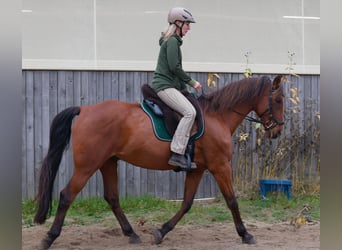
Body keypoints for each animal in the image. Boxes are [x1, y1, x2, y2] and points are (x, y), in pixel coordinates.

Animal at [33, 74, 284, 248]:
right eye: (279, 100)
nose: (277, 132)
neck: (217, 116)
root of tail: (84, 109)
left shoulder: (197, 169)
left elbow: (187, 203)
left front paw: (161, 232)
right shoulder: (220, 166)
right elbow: (231, 201)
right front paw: (246, 234)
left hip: (108, 162)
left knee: (112, 198)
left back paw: (132, 234)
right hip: (88, 166)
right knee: (67, 195)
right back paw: (49, 238)